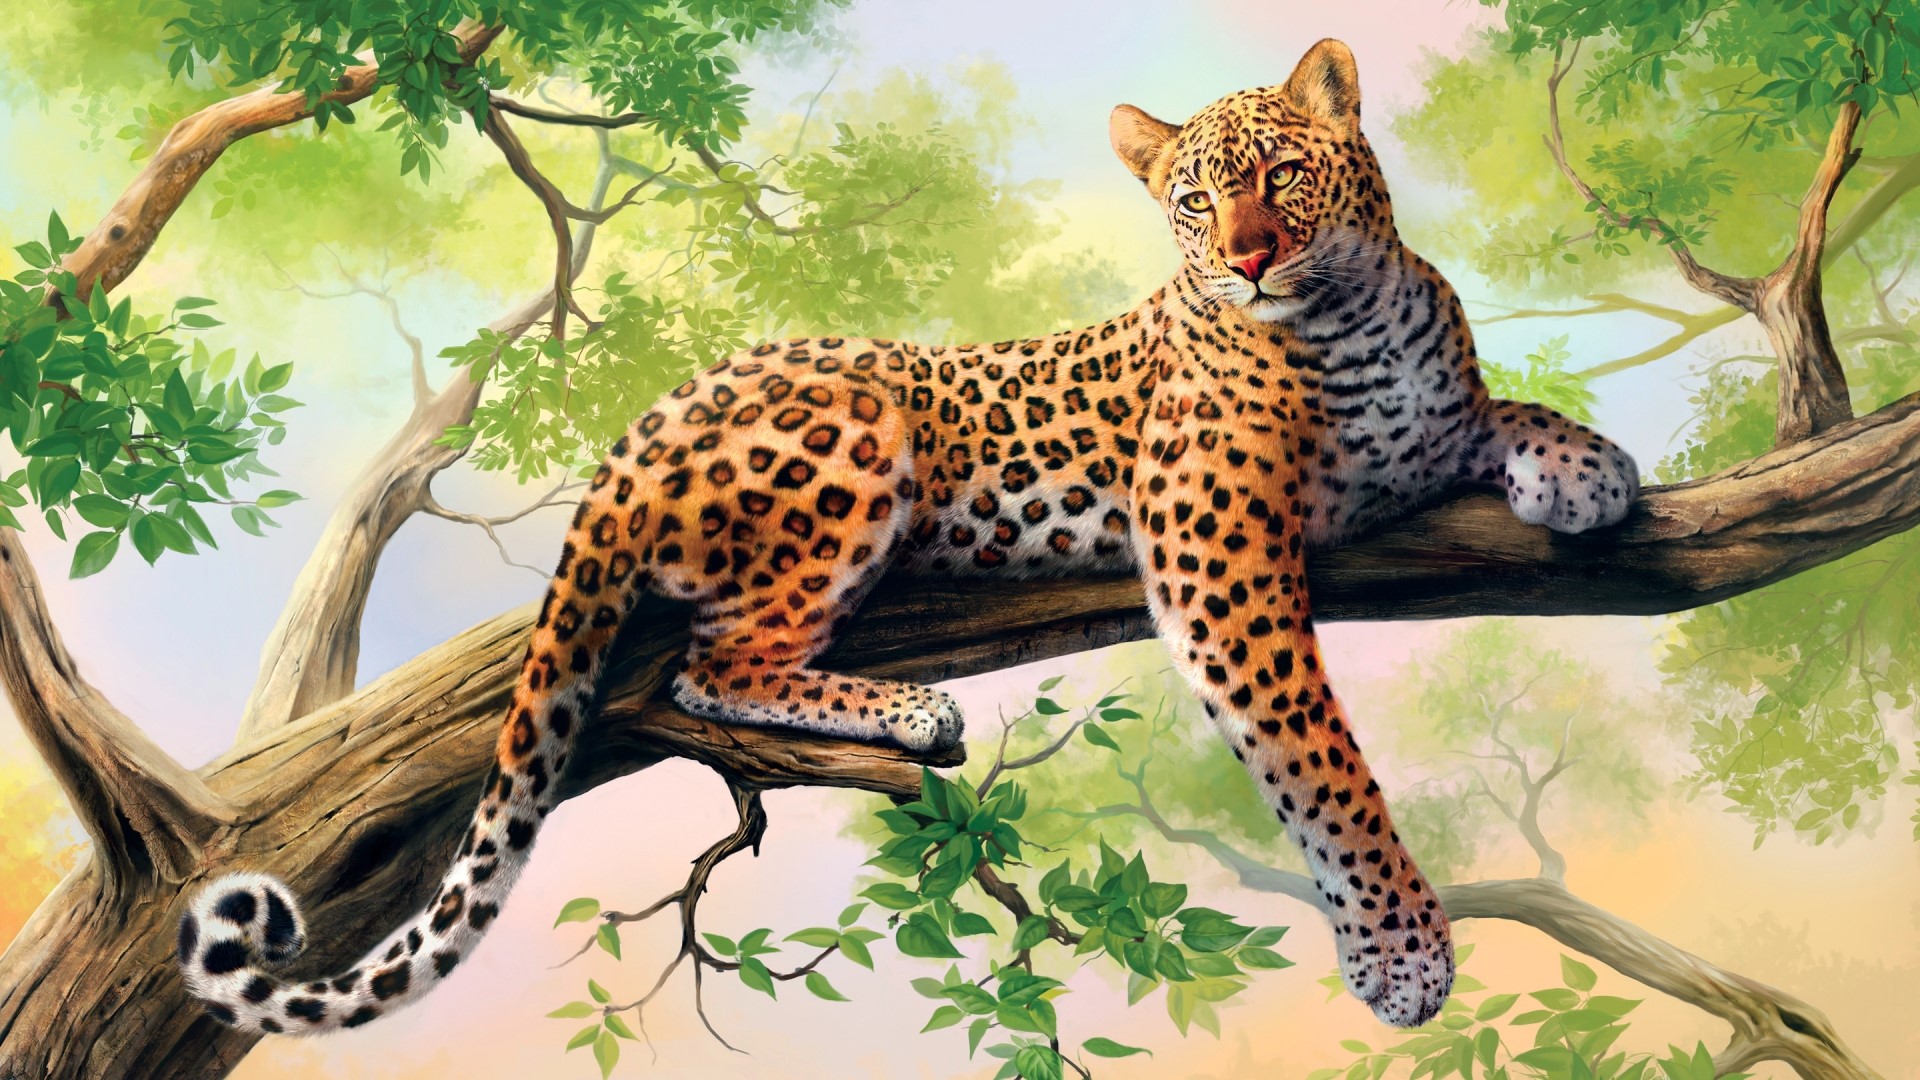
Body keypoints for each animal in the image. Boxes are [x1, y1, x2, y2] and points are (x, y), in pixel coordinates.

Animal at [176, 39, 1638, 1037]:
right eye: (1191, 201)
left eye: (1280, 172)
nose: (1249, 258)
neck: (1349, 319)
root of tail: (643, 424)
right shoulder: (1215, 552)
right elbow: (1320, 758)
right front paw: (1400, 948)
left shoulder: (1417, 436)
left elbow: (1494, 410)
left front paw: (1587, 464)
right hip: (857, 433)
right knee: (715, 661)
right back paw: (913, 712)